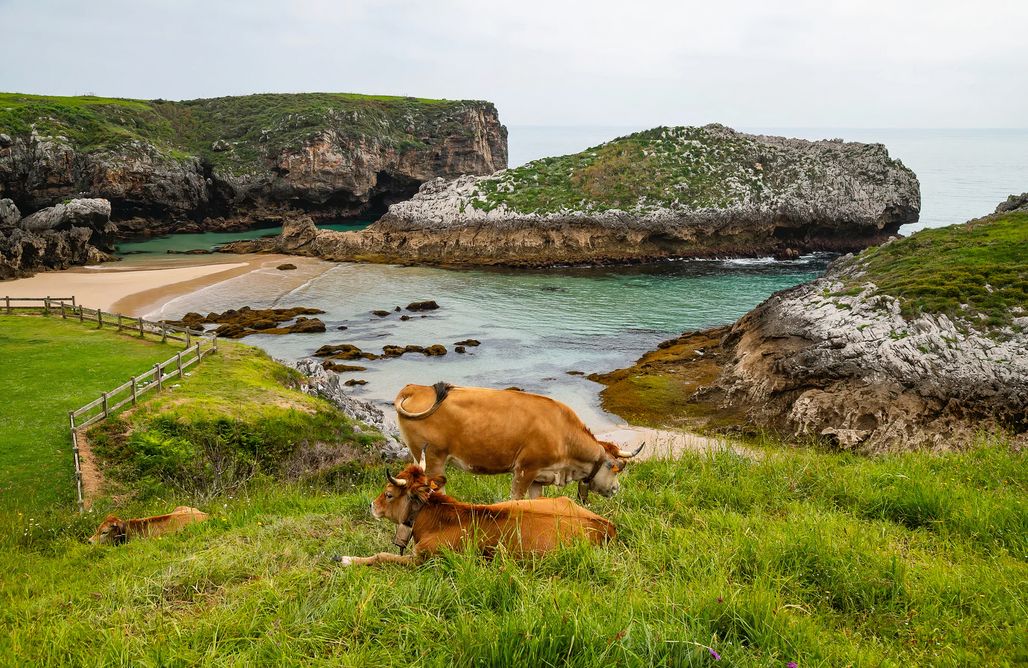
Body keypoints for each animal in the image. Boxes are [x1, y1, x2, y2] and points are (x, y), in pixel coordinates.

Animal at [333, 462, 612, 567]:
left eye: (389, 494)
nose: (372, 505)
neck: (434, 519)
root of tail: (606, 524)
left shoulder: (425, 559)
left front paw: (345, 559)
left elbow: (382, 556)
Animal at [392, 380, 641, 499]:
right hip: (433, 458)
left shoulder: (540, 477)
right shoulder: (524, 470)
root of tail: (415, 387)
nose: (616, 489)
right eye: (616, 467)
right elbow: (515, 499)